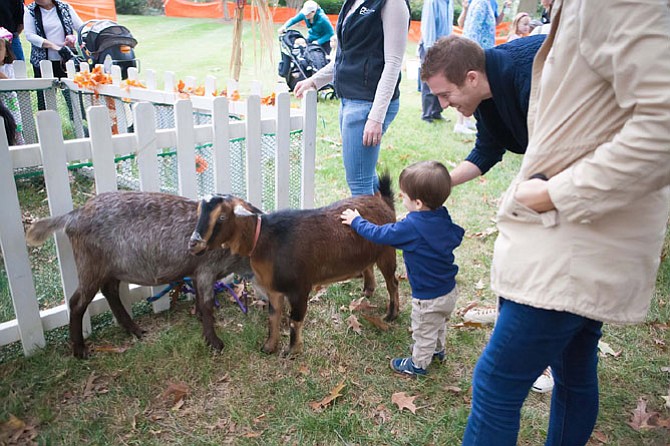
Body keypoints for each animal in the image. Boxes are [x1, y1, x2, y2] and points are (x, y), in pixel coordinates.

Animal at [26, 192, 258, 358]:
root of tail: (72, 216)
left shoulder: (196, 271)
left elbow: (200, 300)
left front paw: (200, 318)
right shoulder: (206, 270)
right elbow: (207, 303)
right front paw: (215, 343)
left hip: (112, 267)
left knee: (109, 291)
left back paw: (135, 330)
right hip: (90, 264)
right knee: (77, 302)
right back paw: (80, 350)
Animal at [189, 176, 400, 358]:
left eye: (222, 217)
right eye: (199, 213)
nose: (194, 244)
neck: (265, 239)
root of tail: (384, 201)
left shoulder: (300, 288)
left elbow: (294, 320)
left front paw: (292, 351)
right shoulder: (274, 290)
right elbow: (273, 317)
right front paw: (269, 347)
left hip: (387, 251)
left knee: (393, 283)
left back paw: (391, 314)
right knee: (369, 267)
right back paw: (368, 291)